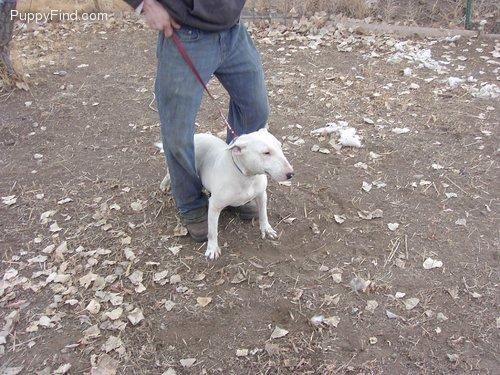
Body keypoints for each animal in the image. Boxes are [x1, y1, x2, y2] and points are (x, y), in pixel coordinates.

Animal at [160, 128, 292, 260]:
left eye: (280, 147)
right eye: (266, 153)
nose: (291, 174)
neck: (246, 176)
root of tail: (196, 135)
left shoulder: (262, 195)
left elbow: (263, 214)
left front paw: (266, 229)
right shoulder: (214, 206)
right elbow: (212, 231)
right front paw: (212, 249)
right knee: (169, 174)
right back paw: (165, 184)